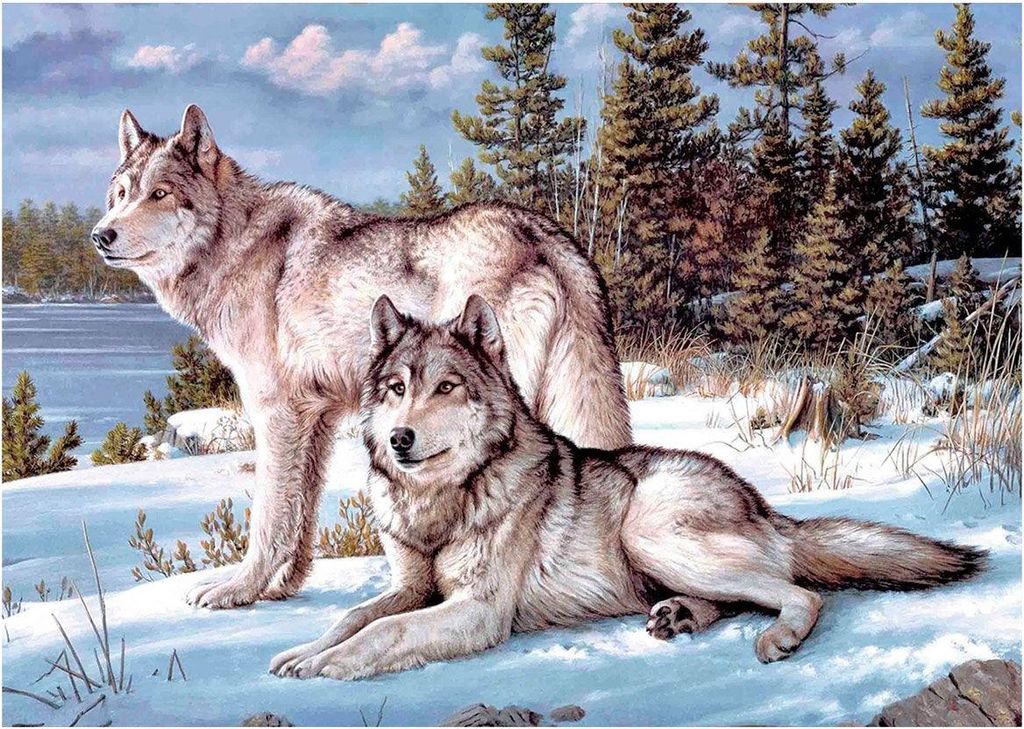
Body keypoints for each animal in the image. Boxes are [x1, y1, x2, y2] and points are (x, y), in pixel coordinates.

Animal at [91, 105, 632, 610]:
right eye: (120, 194)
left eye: (160, 194)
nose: (101, 235)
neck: (234, 245)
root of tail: (545, 234)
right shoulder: (316, 418)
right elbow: (300, 514)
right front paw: (281, 588)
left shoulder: (275, 414)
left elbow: (268, 516)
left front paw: (238, 589)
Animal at [269, 295, 985, 680]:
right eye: (396, 389)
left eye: (446, 387)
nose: (400, 440)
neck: (440, 504)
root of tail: (761, 503)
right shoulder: (410, 588)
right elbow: (353, 617)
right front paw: (301, 651)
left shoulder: (478, 610)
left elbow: (383, 634)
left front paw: (324, 665)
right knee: (741, 597)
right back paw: (680, 617)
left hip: (651, 533)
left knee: (800, 594)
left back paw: (775, 638)